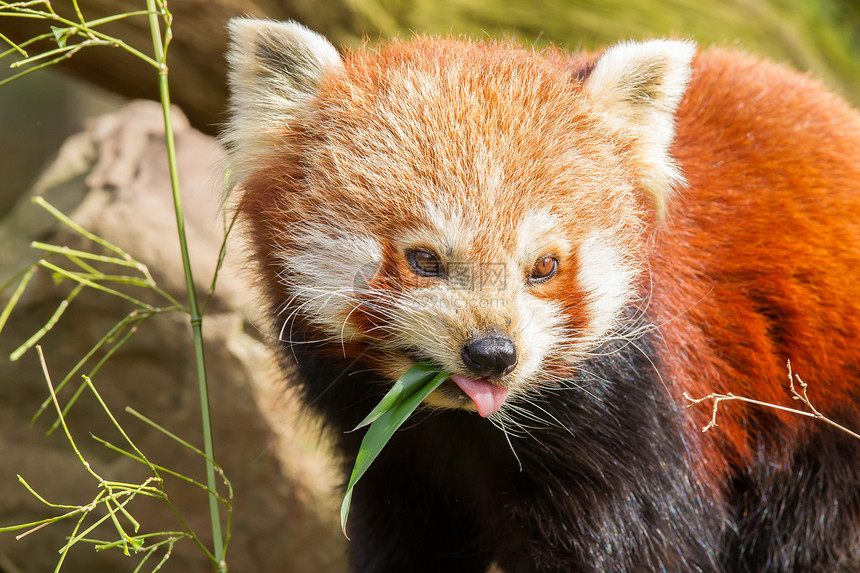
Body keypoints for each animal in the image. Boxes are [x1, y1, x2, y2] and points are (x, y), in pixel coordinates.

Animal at [225, 17, 860, 572]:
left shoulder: (640, 418)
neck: (466, 426)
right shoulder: (395, 461)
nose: (491, 353)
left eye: (544, 266)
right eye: (425, 260)